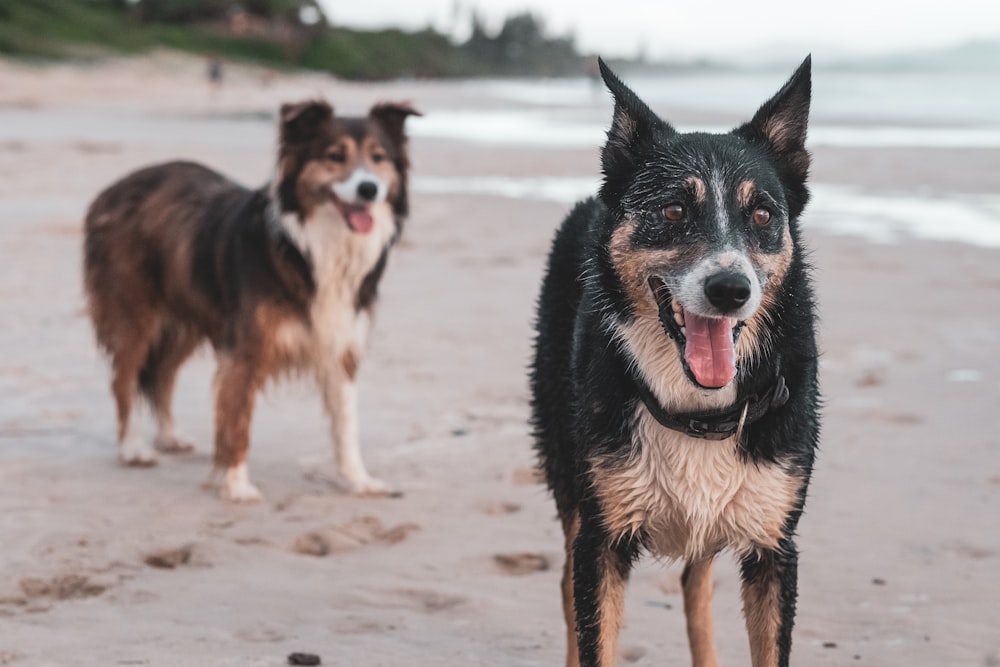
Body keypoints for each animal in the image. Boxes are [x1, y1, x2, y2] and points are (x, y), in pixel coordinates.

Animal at [81, 100, 418, 500]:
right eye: (335, 156)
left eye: (379, 157)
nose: (369, 189)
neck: (311, 246)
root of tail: (115, 187)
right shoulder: (246, 349)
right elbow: (238, 419)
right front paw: (235, 484)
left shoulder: (340, 345)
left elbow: (346, 424)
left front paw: (357, 480)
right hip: (135, 316)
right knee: (124, 380)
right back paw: (132, 448)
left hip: (185, 318)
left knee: (162, 376)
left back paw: (169, 437)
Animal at [532, 58, 820, 667]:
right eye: (673, 210)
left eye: (763, 214)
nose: (731, 290)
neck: (698, 409)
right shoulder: (602, 538)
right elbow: (593, 632)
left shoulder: (774, 547)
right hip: (566, 468)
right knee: (567, 584)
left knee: (696, 587)